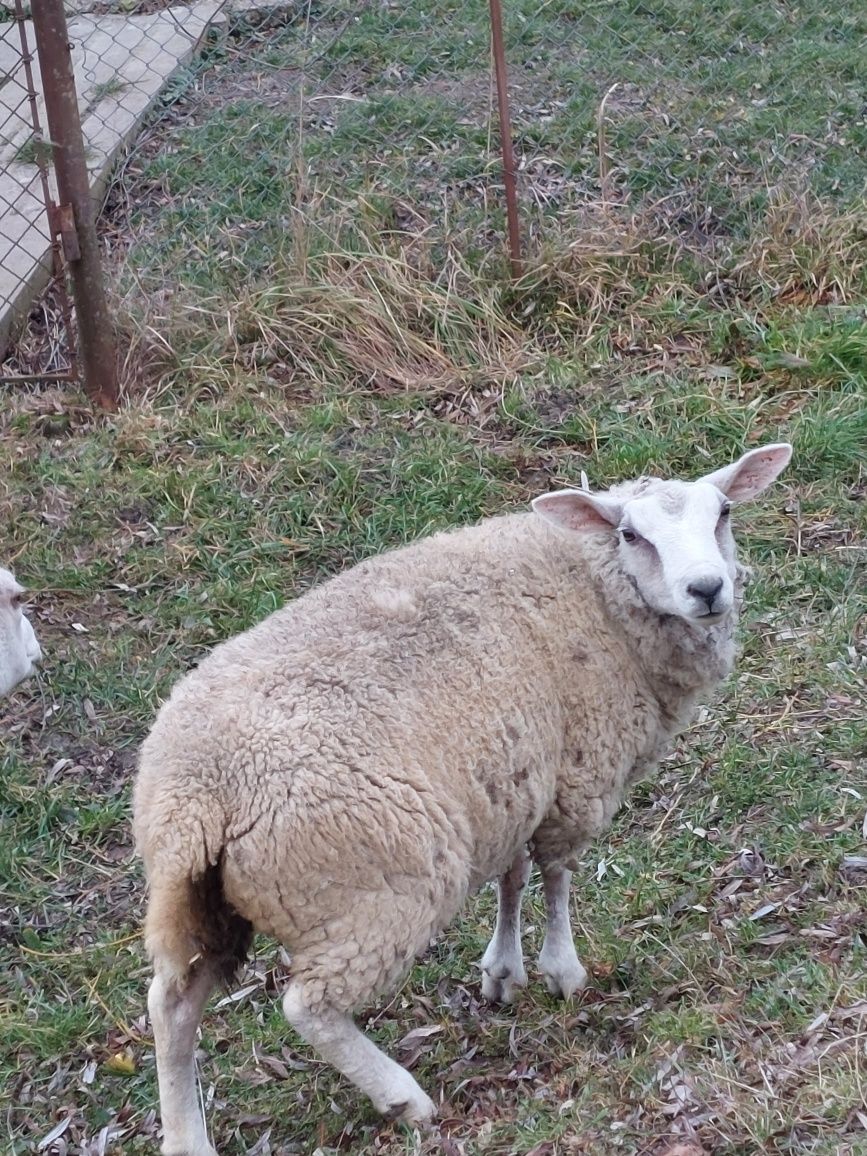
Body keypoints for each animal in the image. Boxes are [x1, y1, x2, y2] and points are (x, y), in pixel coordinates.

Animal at [135, 441, 795, 1156]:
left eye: (723, 512)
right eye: (630, 534)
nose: (707, 588)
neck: (593, 587)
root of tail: (195, 797)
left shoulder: (514, 777)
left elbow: (514, 874)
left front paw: (503, 971)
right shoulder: (575, 774)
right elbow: (555, 874)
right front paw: (561, 970)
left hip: (198, 906)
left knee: (170, 1006)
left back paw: (186, 1136)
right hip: (369, 893)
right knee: (308, 1007)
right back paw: (403, 1098)